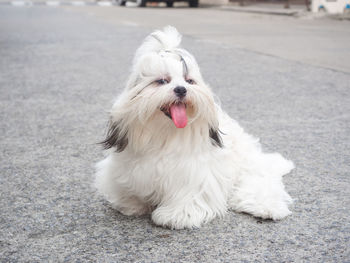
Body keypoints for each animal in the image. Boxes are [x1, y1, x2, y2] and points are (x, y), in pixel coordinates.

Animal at [94, 25, 294, 230]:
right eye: (162, 81)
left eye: (189, 81)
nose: (181, 89)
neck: (164, 135)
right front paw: (131, 204)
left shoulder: (194, 174)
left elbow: (188, 196)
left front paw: (177, 216)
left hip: (249, 171)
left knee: (260, 185)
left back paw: (266, 208)